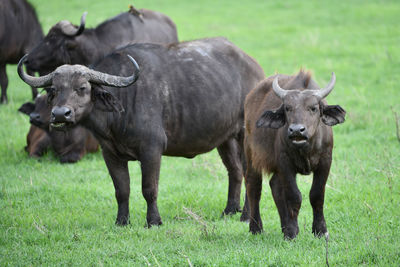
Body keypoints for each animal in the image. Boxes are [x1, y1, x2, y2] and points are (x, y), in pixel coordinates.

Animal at [242, 70, 346, 240]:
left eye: (313, 108)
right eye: (287, 108)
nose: (297, 130)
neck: (306, 148)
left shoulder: (325, 162)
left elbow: (317, 195)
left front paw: (320, 230)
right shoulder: (285, 163)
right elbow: (294, 196)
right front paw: (291, 233)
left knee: (275, 186)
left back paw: (284, 225)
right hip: (251, 154)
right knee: (254, 186)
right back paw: (256, 228)